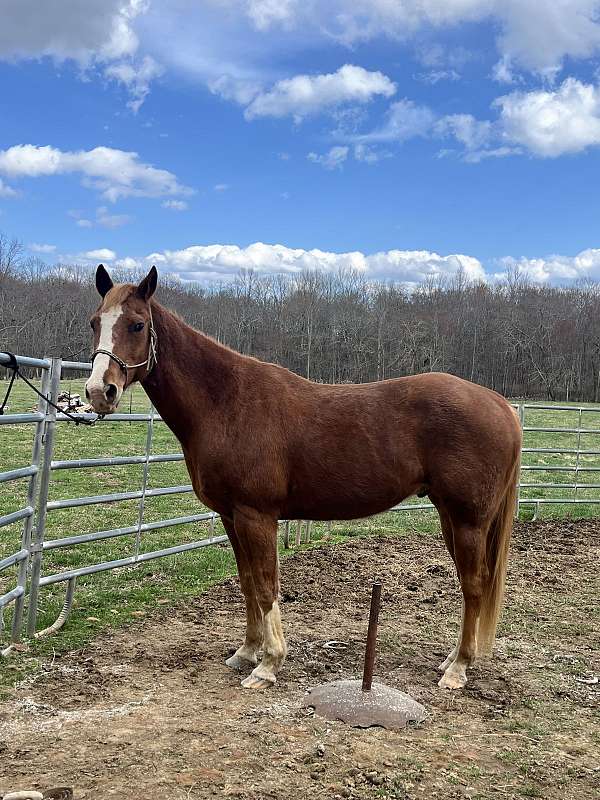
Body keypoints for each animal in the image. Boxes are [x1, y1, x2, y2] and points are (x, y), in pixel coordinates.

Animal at [85, 264, 522, 691]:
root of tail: (499, 404)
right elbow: (247, 582)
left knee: (475, 584)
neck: (226, 403)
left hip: (468, 521)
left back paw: (458, 669)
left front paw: (268, 665)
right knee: (470, 585)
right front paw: (246, 652)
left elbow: (266, 586)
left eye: (137, 325)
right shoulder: (231, 517)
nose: (99, 392)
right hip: (450, 516)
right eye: (94, 322)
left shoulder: (257, 516)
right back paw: (451, 659)